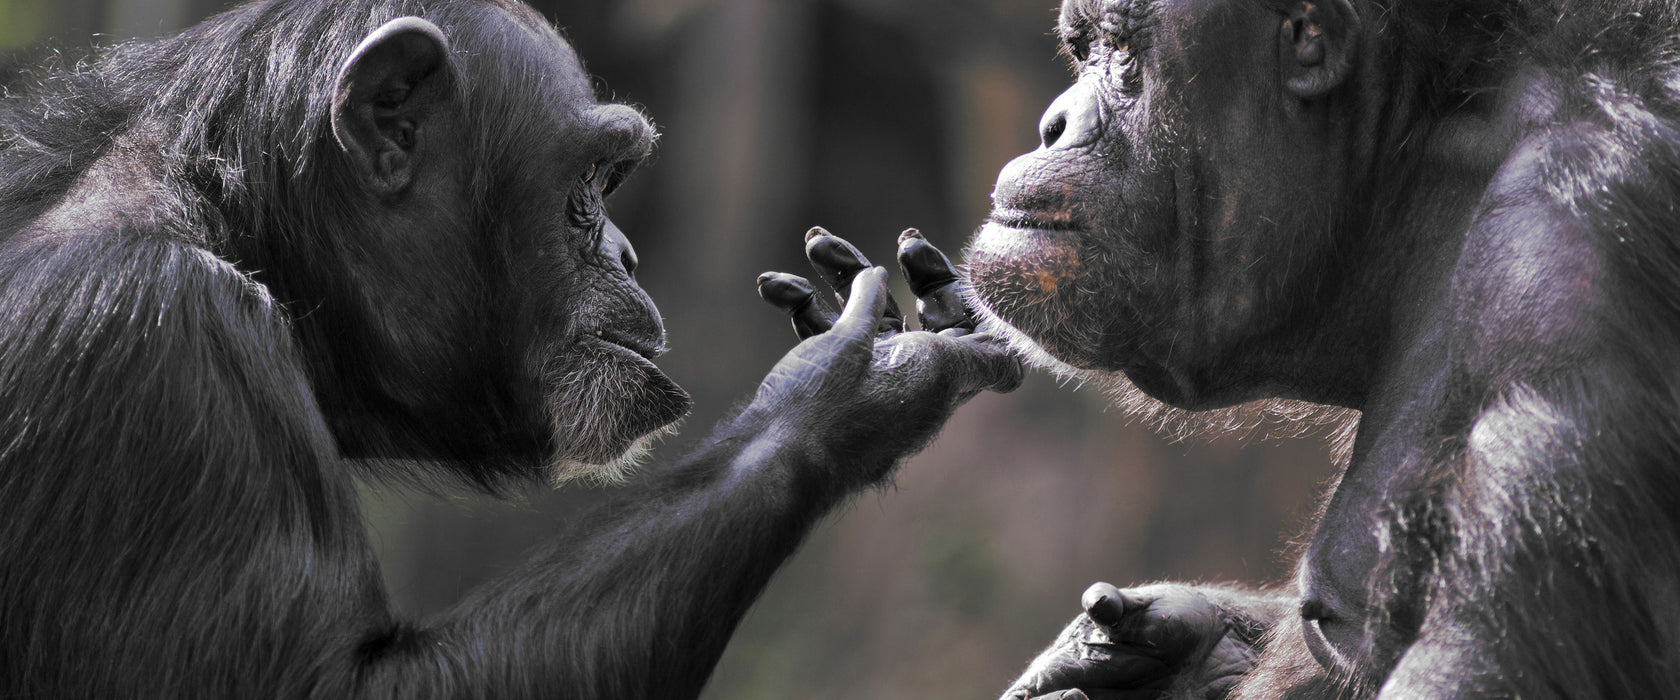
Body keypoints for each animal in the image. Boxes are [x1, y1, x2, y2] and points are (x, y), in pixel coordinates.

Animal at [960, 0, 1680, 694]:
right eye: (1083, 46)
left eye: (1120, 49)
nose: (1053, 124)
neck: (1415, 163)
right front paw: (1177, 646)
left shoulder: (1560, 277)